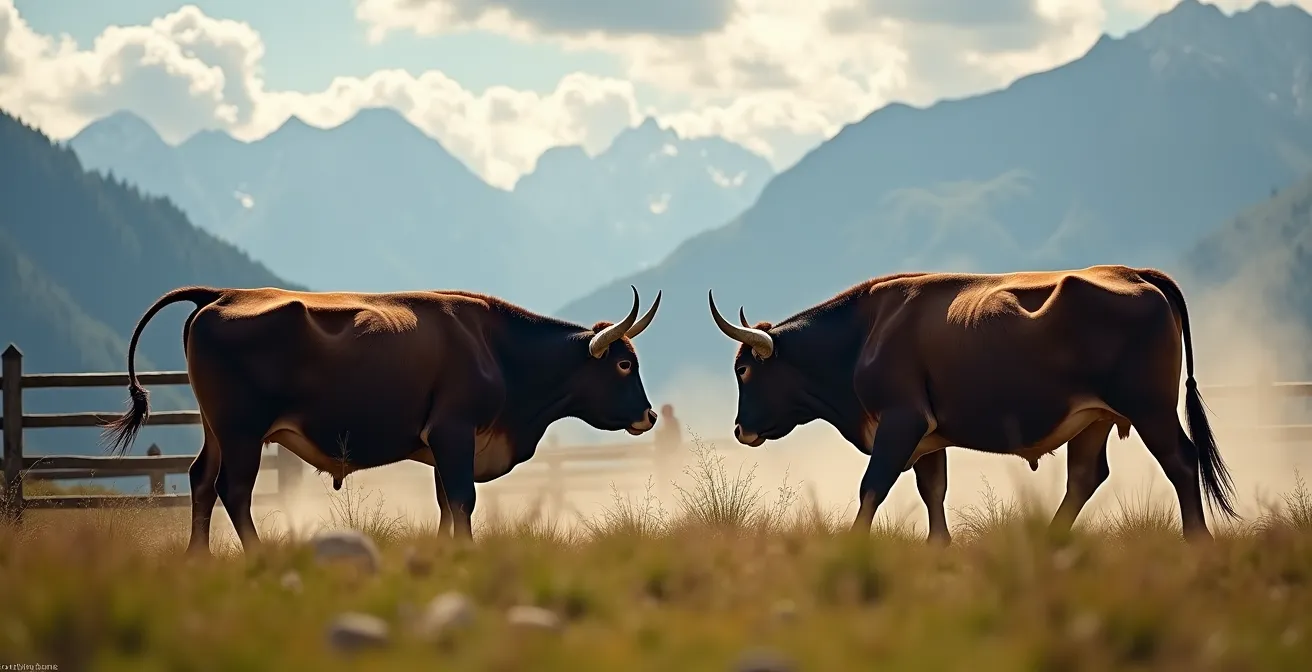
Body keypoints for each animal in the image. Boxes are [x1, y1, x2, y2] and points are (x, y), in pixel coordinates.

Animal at [101, 284, 662, 553]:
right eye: (624, 364)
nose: (650, 415)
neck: (497, 350)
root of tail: (222, 293)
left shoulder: (442, 446)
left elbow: (445, 502)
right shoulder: (454, 432)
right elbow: (463, 499)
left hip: (216, 429)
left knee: (200, 480)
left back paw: (197, 557)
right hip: (243, 432)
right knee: (232, 490)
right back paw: (257, 556)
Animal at [707, 265, 1238, 544]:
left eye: (743, 370)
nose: (738, 429)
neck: (863, 336)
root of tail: (1132, 272)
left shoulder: (900, 421)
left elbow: (871, 487)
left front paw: (853, 544)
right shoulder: (928, 436)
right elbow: (933, 491)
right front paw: (938, 547)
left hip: (1150, 409)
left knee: (1181, 461)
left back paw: (1198, 541)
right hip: (1094, 419)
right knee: (1086, 477)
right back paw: (1049, 540)